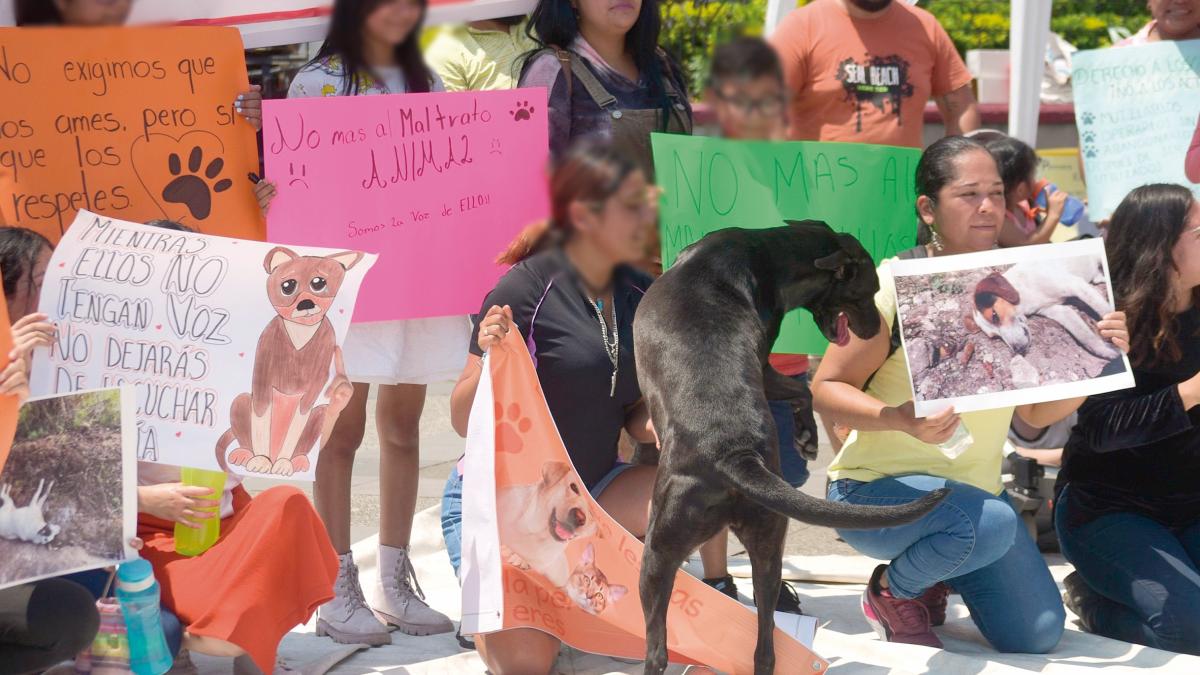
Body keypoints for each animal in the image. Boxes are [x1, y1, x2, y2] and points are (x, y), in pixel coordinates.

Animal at [633, 218, 950, 667]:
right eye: (866, 293)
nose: (880, 332)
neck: (767, 253)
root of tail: (736, 454)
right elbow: (808, 390)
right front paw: (806, 436)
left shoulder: (766, 370)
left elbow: (805, 391)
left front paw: (807, 436)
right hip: (769, 554)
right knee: (765, 649)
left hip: (658, 553)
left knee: (658, 650)